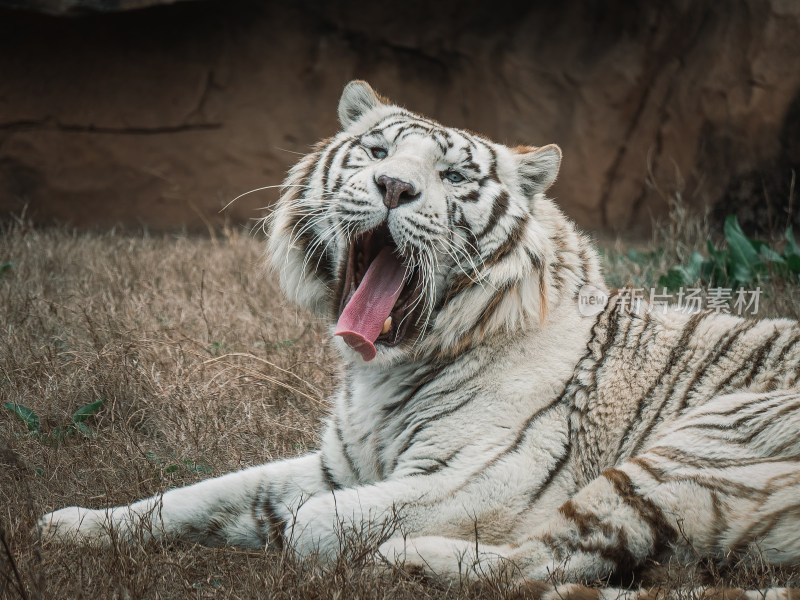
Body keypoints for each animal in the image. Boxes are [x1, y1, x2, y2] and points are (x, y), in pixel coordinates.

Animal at [39, 82, 800, 596]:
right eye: (376, 151)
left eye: (454, 176)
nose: (393, 185)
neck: (384, 369)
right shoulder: (341, 464)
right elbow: (202, 494)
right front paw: (67, 526)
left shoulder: (484, 478)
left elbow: (309, 521)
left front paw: (323, 543)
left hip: (699, 443)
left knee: (546, 564)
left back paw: (399, 560)